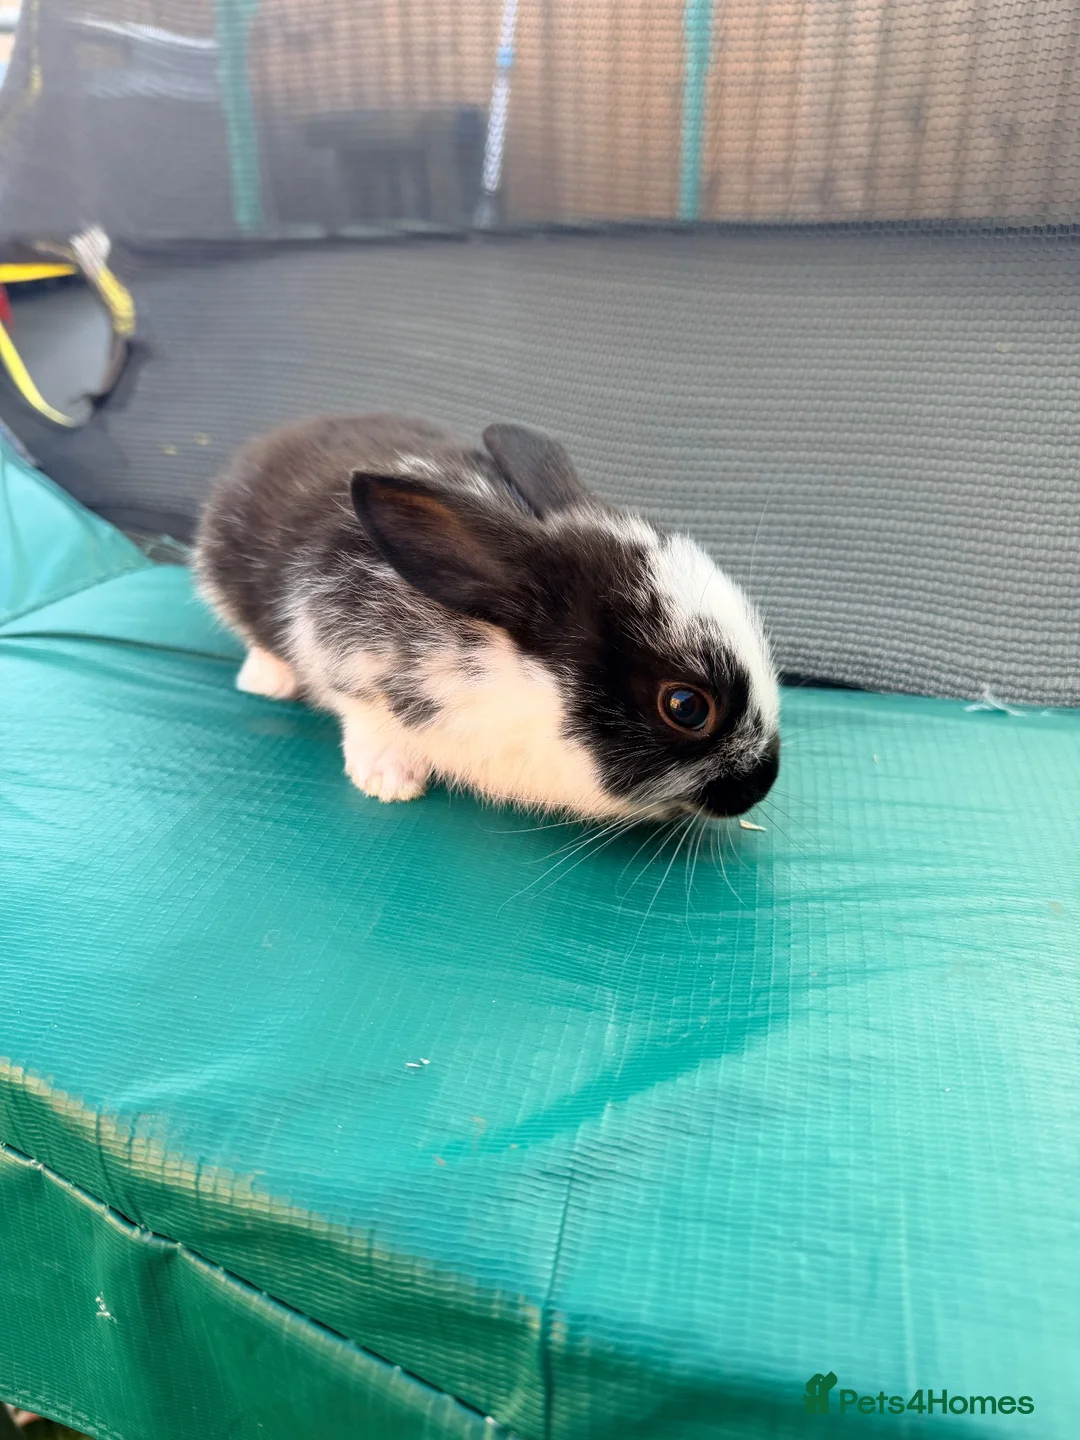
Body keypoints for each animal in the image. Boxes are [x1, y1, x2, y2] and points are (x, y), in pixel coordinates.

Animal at [194, 414, 780, 819]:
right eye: (686, 706)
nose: (764, 783)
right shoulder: (333, 635)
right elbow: (359, 706)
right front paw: (389, 778)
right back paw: (266, 678)